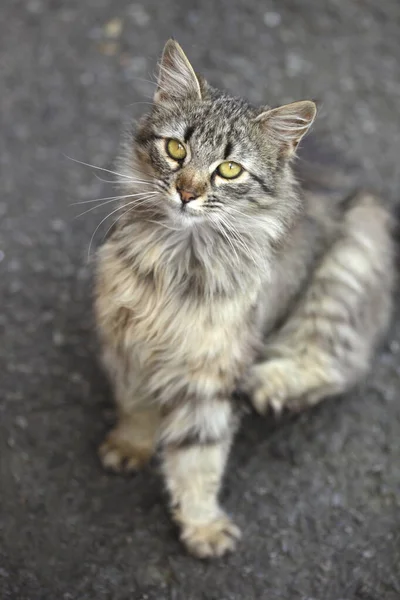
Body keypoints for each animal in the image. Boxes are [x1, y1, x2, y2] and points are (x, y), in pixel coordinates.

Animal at [95, 41, 396, 556]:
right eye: (176, 149)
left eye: (229, 170)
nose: (187, 192)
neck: (180, 261)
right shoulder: (128, 339)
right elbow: (135, 405)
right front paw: (131, 445)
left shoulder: (210, 368)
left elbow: (199, 455)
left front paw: (202, 526)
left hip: (346, 267)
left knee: (337, 363)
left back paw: (268, 385)